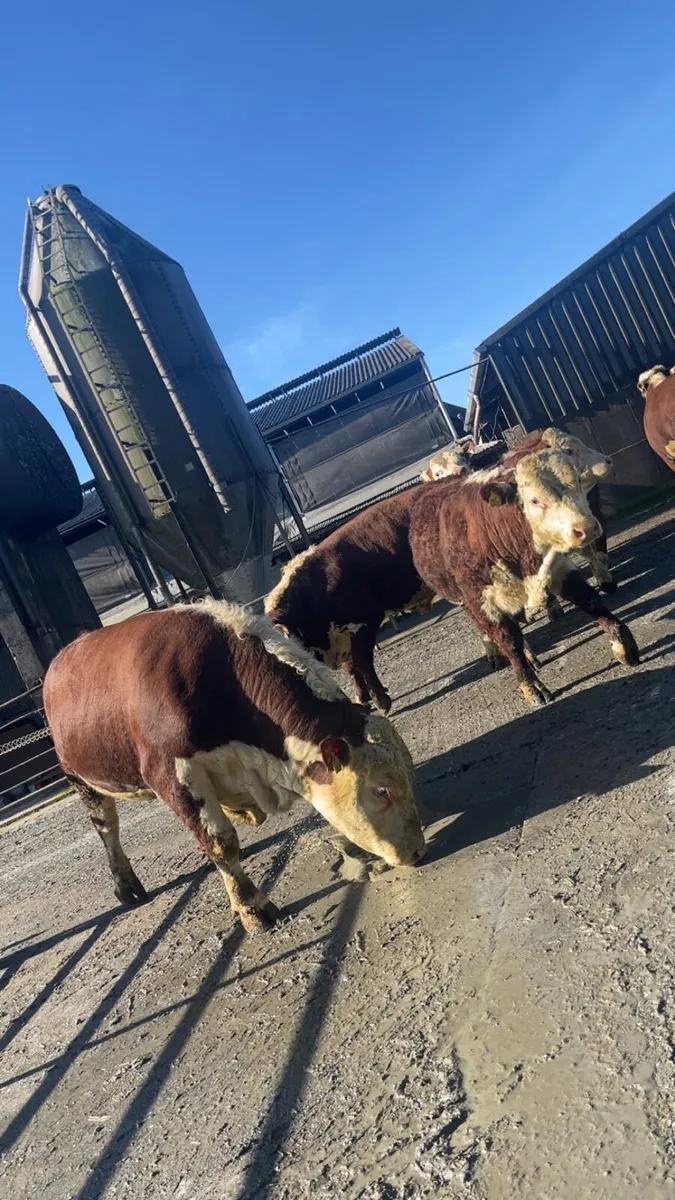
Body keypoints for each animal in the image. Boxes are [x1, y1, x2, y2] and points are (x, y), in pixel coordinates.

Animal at [43, 602, 425, 935]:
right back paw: (126, 884)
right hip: (80, 777)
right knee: (106, 826)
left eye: (410, 778)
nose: (417, 850)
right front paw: (252, 907)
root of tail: (64, 655)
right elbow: (221, 844)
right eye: (382, 790)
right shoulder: (171, 774)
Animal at [409, 447, 639, 707]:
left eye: (577, 481)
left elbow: (590, 600)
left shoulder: (556, 568)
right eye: (535, 500)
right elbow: (509, 641)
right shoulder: (482, 600)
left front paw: (623, 645)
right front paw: (531, 687)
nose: (586, 528)